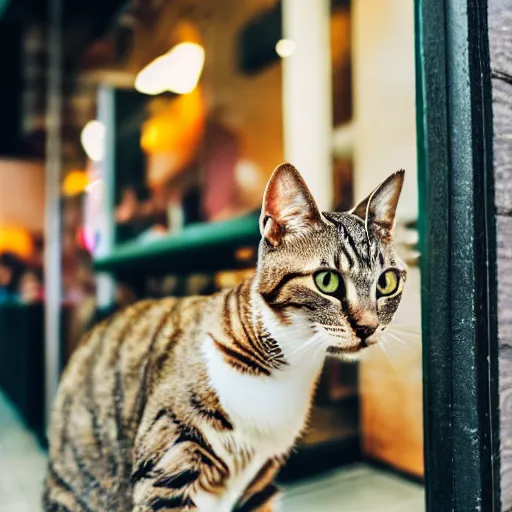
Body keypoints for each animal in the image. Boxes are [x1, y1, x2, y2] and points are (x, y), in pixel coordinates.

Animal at [45, 162, 408, 510]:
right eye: (327, 281)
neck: (286, 368)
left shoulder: (260, 483)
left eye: (387, 281)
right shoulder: (170, 465)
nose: (368, 326)